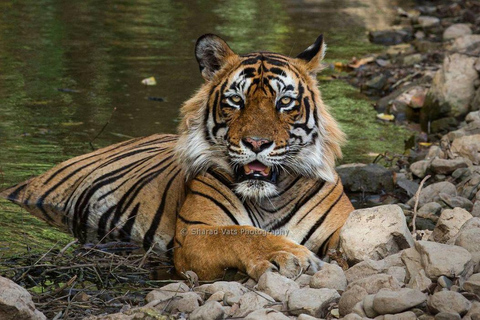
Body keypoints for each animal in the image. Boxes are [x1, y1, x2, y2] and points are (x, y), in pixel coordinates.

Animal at [0, 33, 352, 282]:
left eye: (284, 102)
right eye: (236, 100)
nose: (256, 143)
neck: (269, 199)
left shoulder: (339, 226)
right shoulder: (196, 233)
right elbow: (242, 235)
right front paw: (289, 255)